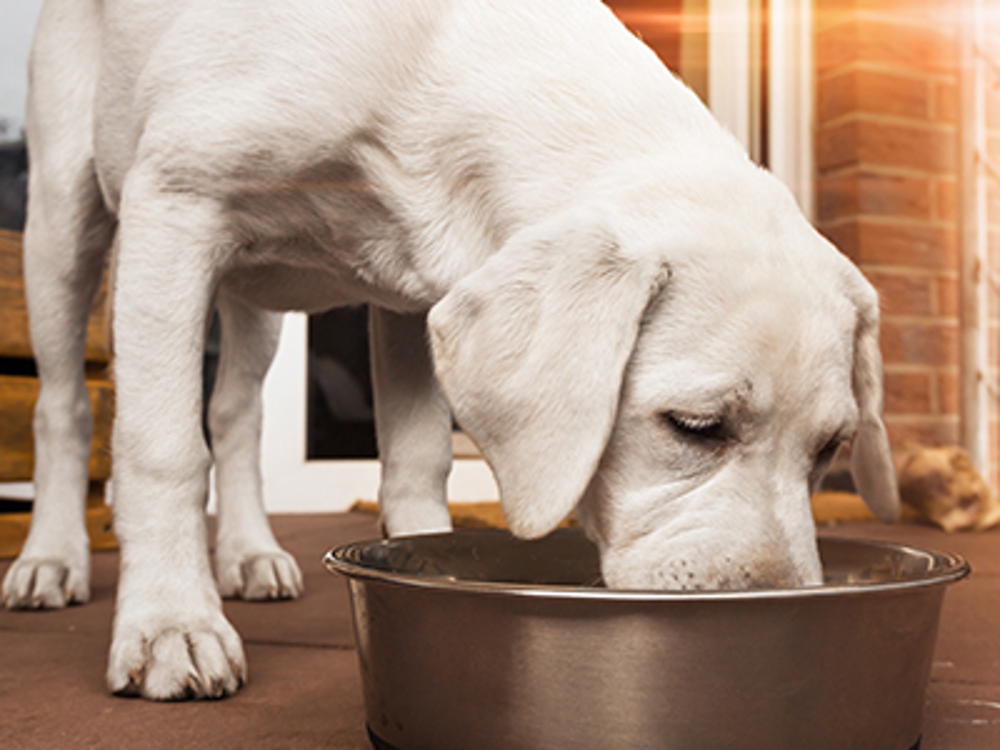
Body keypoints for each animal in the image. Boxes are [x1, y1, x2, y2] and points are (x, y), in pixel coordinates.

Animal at [1, 0, 900, 704]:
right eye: (695, 426)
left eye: (831, 449)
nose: (777, 611)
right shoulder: (176, 201)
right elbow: (161, 450)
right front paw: (169, 626)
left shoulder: (412, 297)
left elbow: (415, 460)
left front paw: (420, 556)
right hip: (66, 220)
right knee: (64, 407)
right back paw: (51, 559)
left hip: (251, 299)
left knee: (236, 414)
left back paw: (251, 553)